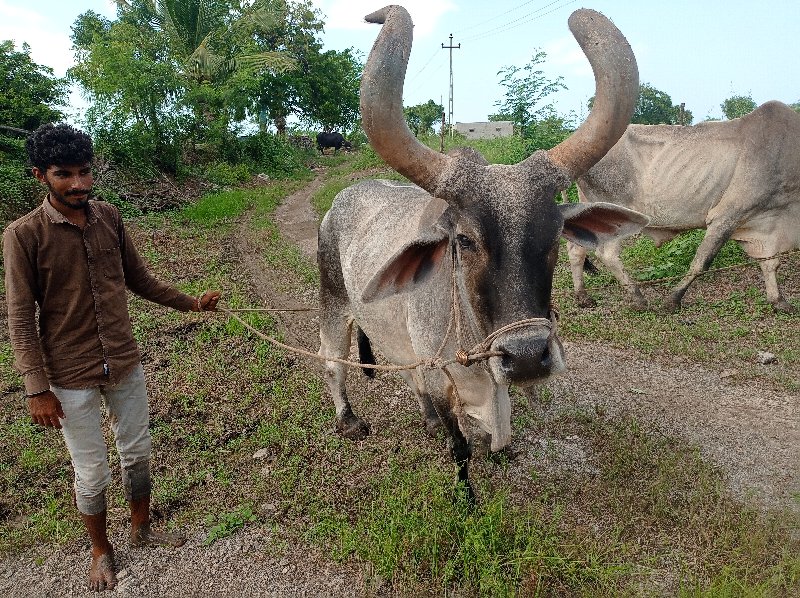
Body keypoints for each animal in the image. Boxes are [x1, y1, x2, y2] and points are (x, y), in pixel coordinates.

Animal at [316, 5, 648, 502]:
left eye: (555, 235)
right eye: (466, 240)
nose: (527, 355)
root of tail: (342, 199)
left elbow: (495, 427)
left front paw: (500, 452)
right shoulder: (443, 381)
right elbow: (460, 447)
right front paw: (467, 494)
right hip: (333, 302)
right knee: (333, 362)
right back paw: (348, 419)